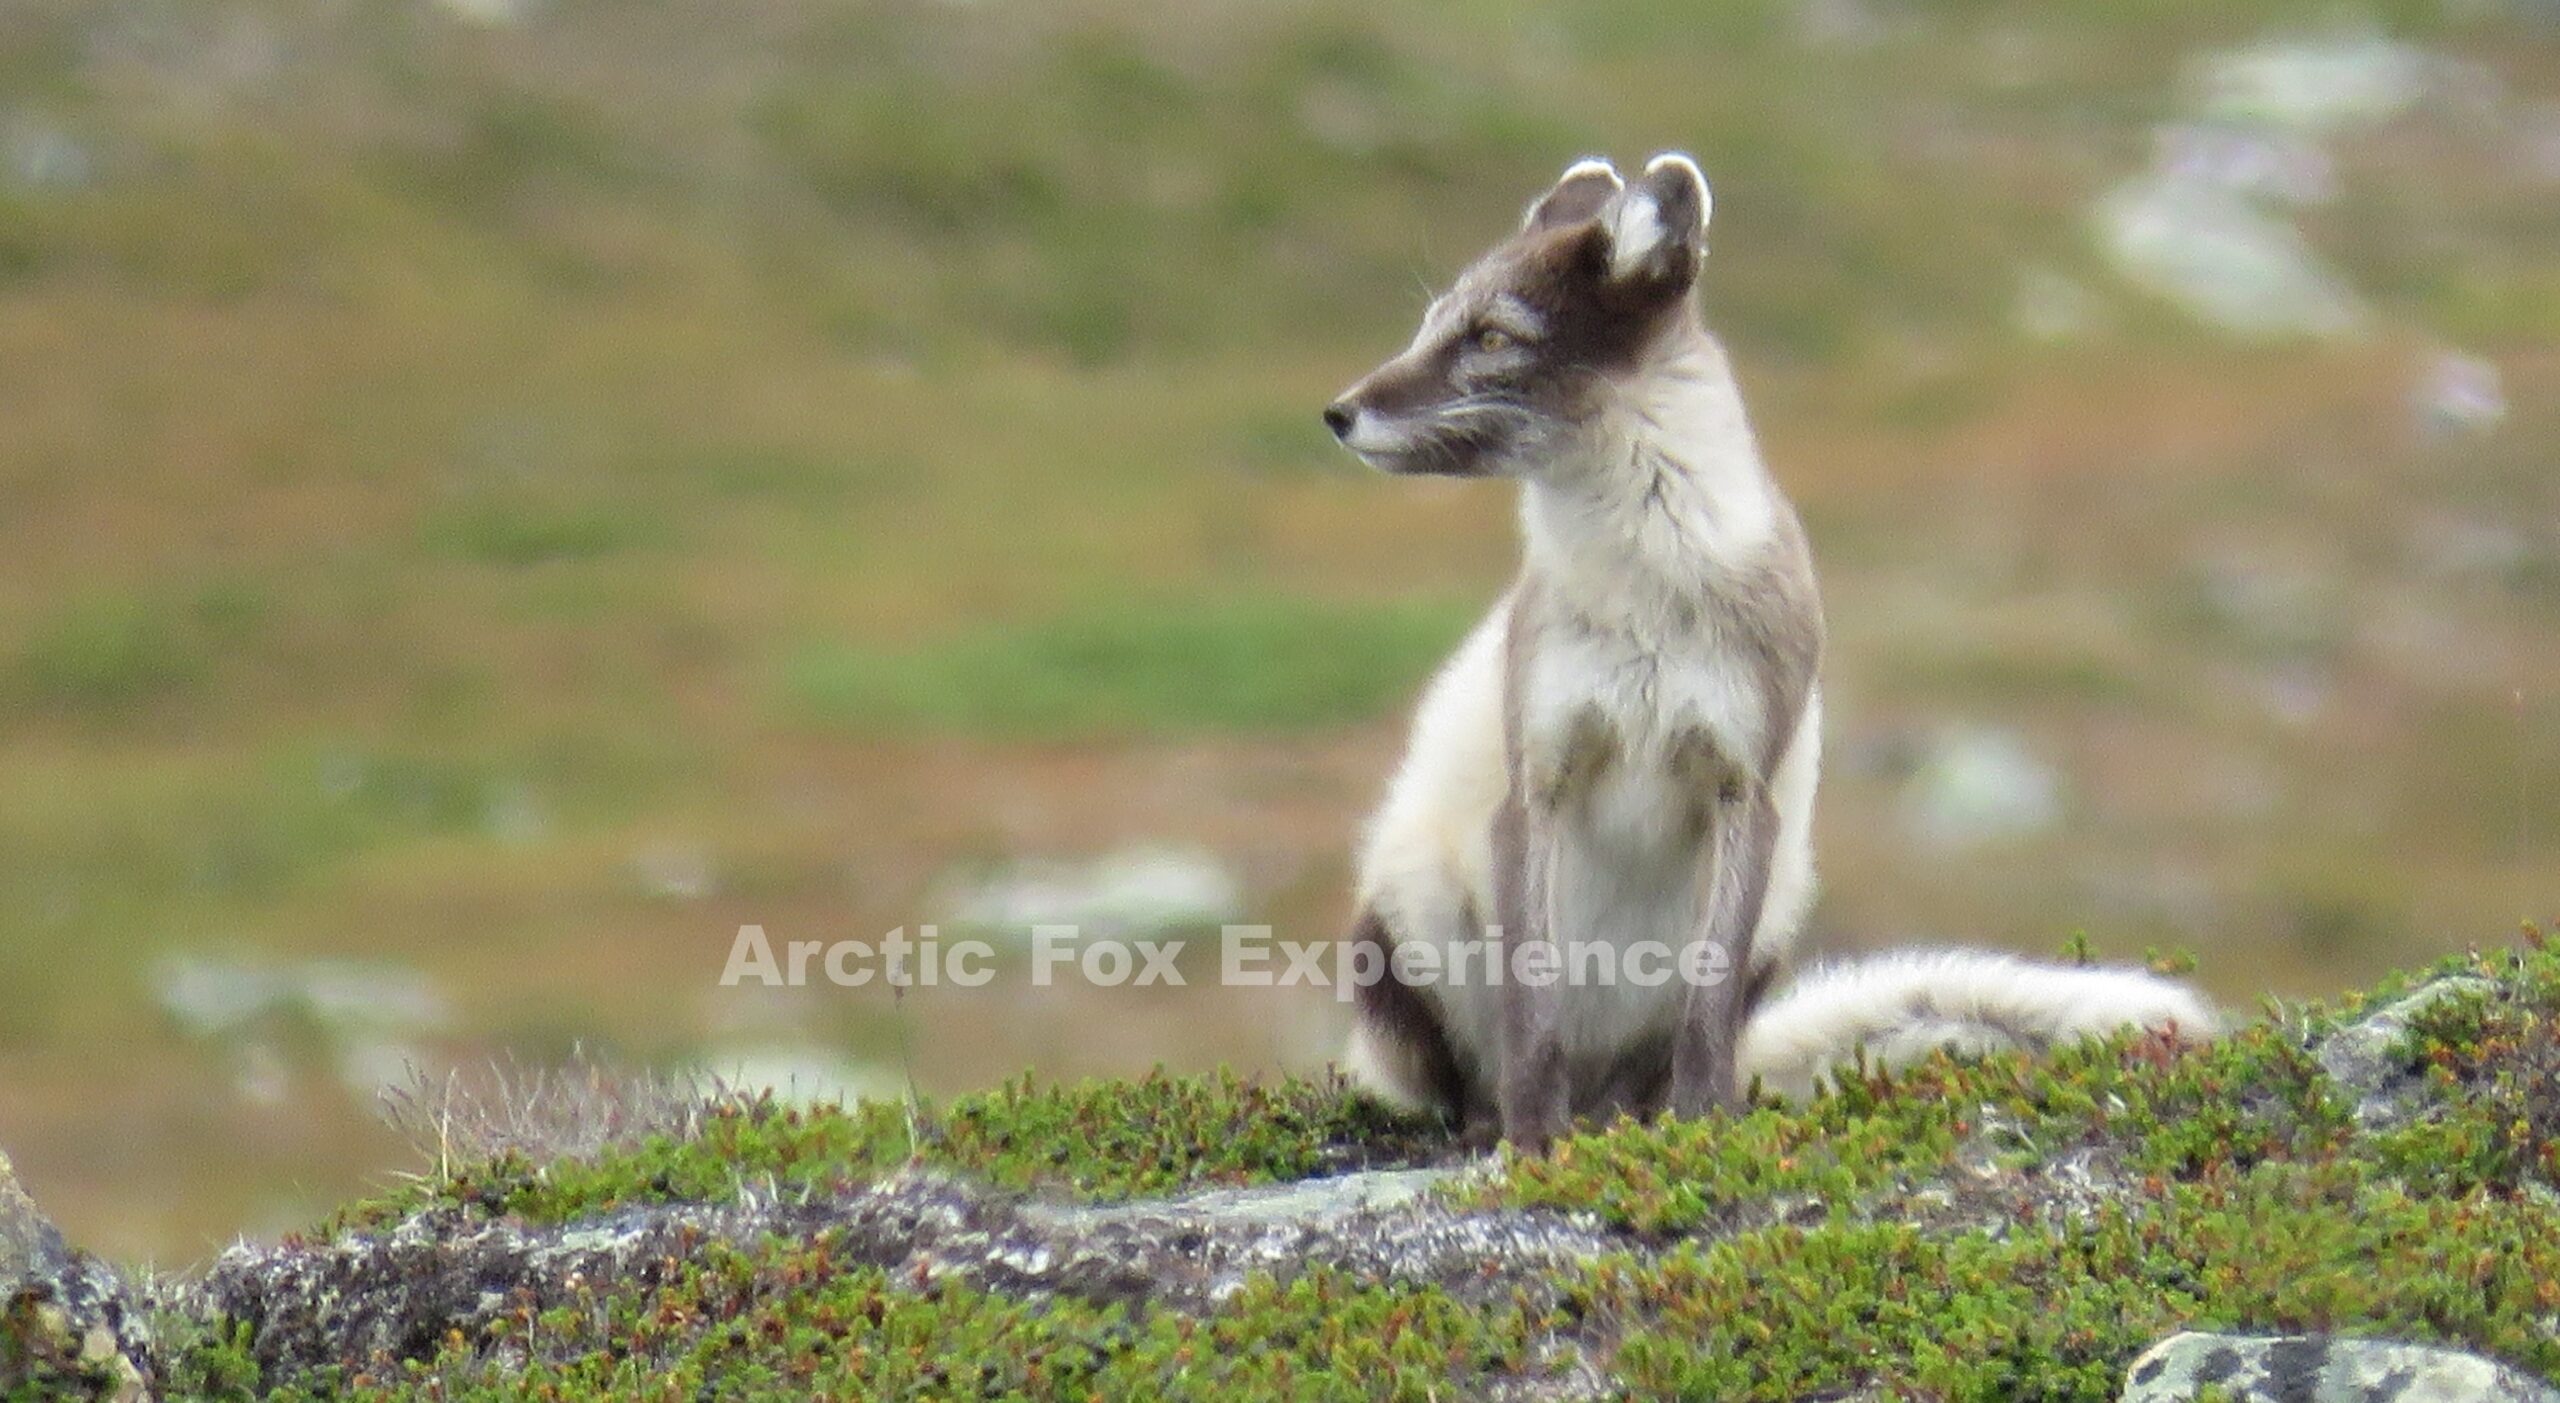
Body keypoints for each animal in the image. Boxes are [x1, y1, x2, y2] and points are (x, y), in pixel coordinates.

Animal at [1324, 153, 2216, 1151]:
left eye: (1489, 334)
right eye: (1432, 321)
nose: (1338, 412)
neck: (1647, 589)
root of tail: (1601, 1094)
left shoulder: (1744, 782)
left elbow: (1706, 1016)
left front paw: (1703, 1128)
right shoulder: (1537, 780)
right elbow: (1533, 1008)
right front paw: (1531, 1145)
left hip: (1783, 902)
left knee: (1664, 1058)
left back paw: (1638, 1120)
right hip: (1410, 907)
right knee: (1460, 1076)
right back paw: (1503, 1126)